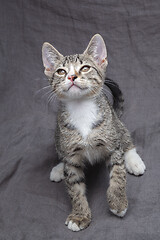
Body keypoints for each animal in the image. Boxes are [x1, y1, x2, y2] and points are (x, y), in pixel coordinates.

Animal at [41, 33, 146, 231]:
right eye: (61, 71)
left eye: (85, 68)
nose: (72, 76)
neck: (81, 109)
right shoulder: (71, 158)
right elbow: (74, 188)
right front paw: (79, 215)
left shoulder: (112, 146)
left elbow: (118, 175)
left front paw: (118, 202)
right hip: (58, 137)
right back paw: (59, 169)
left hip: (116, 123)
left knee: (126, 139)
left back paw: (133, 160)